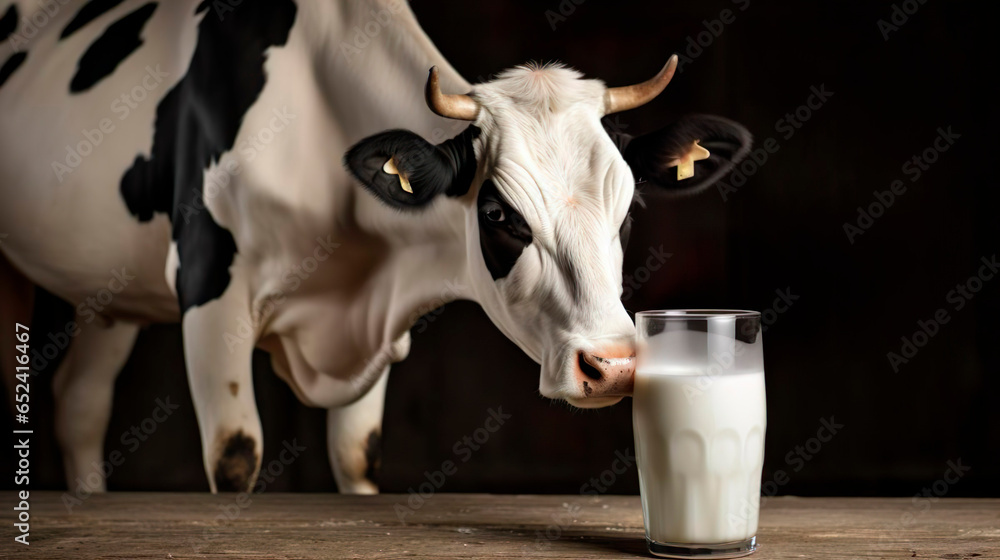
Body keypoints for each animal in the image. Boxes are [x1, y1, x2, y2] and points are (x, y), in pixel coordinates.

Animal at [0, 0, 752, 490]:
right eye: (499, 213)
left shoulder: (376, 316)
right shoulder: (209, 289)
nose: (616, 365)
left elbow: (359, 457)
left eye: (628, 209)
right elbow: (236, 455)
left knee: (80, 405)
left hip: (109, 294)